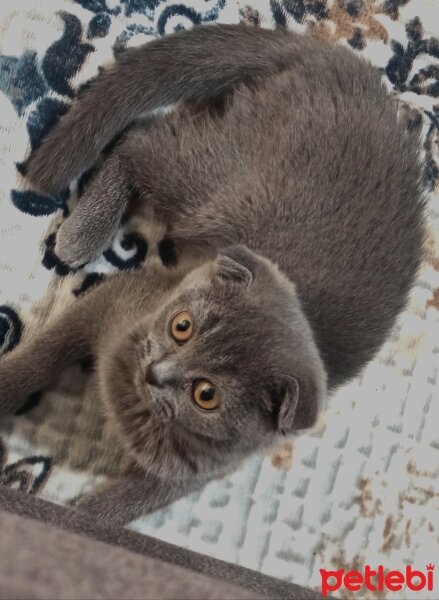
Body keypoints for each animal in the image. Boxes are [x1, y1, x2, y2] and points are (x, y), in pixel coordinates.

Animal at [0, 23, 426, 520]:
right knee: (140, 139)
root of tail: (347, 65)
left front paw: (82, 515)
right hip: (221, 186)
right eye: (182, 326)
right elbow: (42, 354)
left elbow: (111, 513)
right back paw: (82, 235)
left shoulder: (194, 475)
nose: (158, 373)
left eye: (207, 395)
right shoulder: (118, 297)